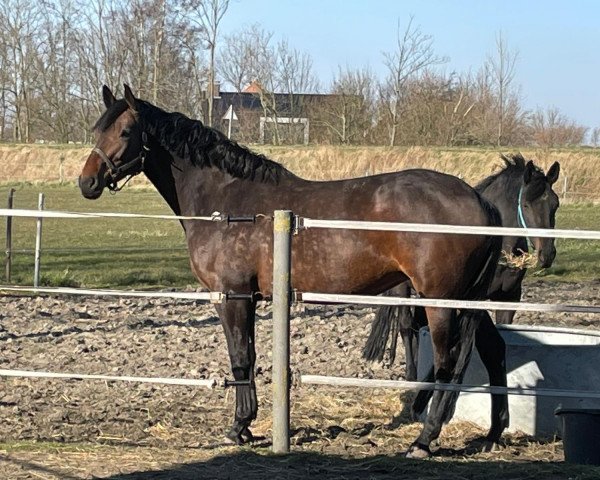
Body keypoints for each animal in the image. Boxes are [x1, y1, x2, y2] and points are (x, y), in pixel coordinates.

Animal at [77, 85, 504, 458]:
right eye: (97, 128)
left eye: (126, 131)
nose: (87, 182)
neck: (227, 200)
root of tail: (479, 199)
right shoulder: (247, 298)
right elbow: (247, 356)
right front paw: (246, 426)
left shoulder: (232, 296)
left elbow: (240, 357)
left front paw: (238, 428)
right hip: (467, 301)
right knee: (489, 351)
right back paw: (491, 434)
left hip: (441, 301)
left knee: (448, 363)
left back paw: (424, 440)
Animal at [364, 156, 560, 380]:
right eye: (526, 205)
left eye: (555, 204)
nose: (547, 254)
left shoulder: (509, 298)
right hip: (402, 289)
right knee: (406, 326)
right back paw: (411, 374)